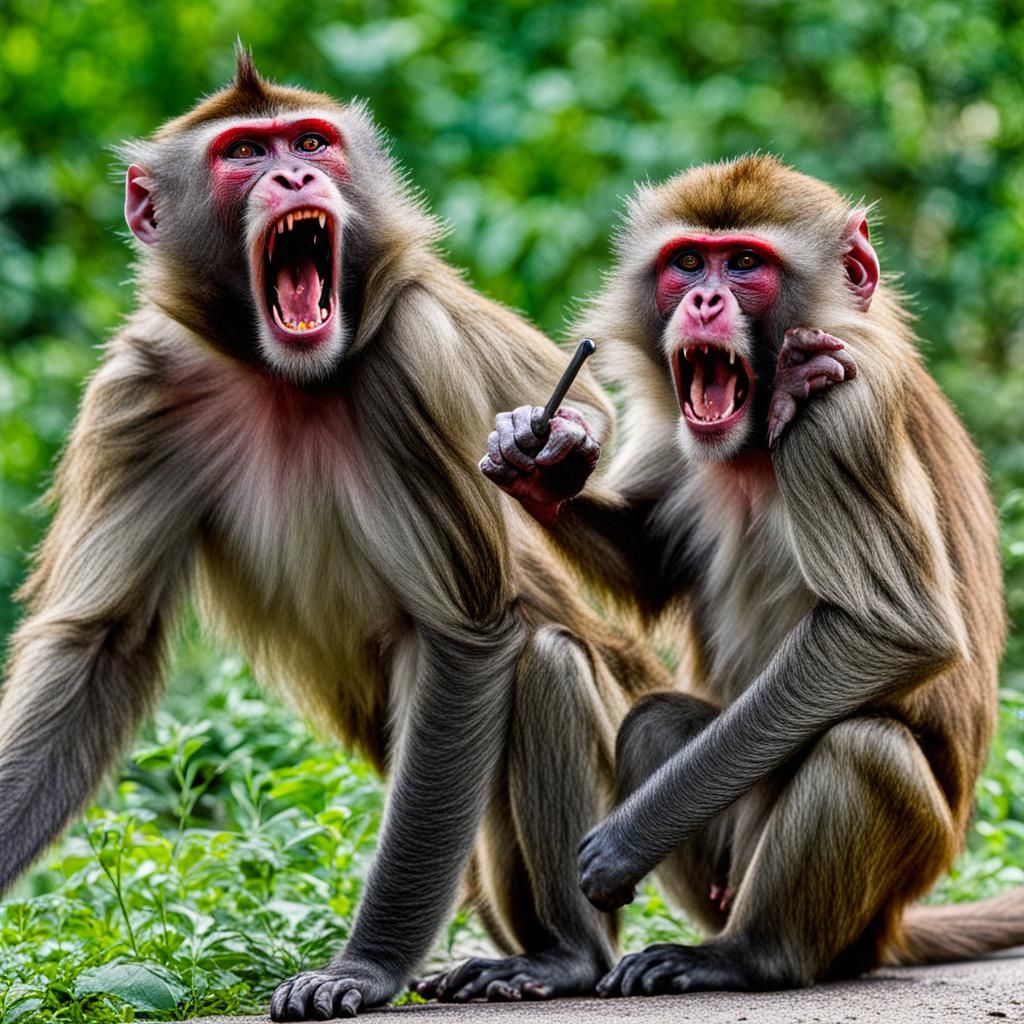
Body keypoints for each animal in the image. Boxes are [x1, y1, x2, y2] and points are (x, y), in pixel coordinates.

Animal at [0, 50, 672, 1020]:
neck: (282, 376)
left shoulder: (415, 354)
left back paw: (564, 957)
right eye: (246, 152)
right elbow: (99, 644)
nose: (294, 178)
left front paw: (365, 968)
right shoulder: (138, 393)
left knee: (546, 663)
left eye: (311, 143)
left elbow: (467, 634)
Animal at [480, 154, 1024, 994]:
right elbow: (650, 565)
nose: (704, 300)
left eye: (743, 264)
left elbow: (895, 632)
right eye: (686, 263)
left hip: (873, 896)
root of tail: (893, 924)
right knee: (651, 721)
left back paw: (749, 956)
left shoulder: (842, 408)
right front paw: (539, 459)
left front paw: (628, 837)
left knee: (863, 747)